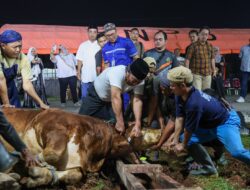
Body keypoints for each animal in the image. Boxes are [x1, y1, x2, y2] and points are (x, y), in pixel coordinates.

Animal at [1, 107, 160, 188]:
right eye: (142, 129)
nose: (160, 131)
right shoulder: (50, 125)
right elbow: (53, 153)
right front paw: (25, 163)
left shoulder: (77, 163)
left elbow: (74, 175)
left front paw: (37, 176)